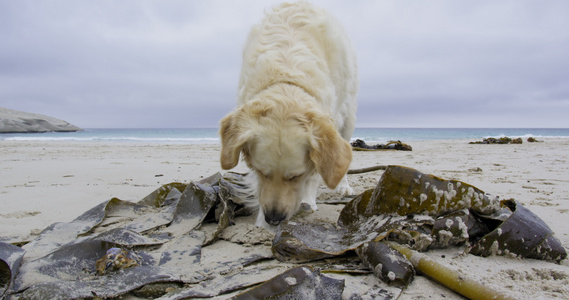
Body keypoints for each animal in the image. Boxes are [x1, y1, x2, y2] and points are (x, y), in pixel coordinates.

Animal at [217, 1, 356, 229]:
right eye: (262, 172)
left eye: (295, 176)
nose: (274, 219)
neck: (286, 79)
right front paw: (261, 222)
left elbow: (315, 174)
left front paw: (307, 200)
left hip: (348, 116)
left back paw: (342, 187)